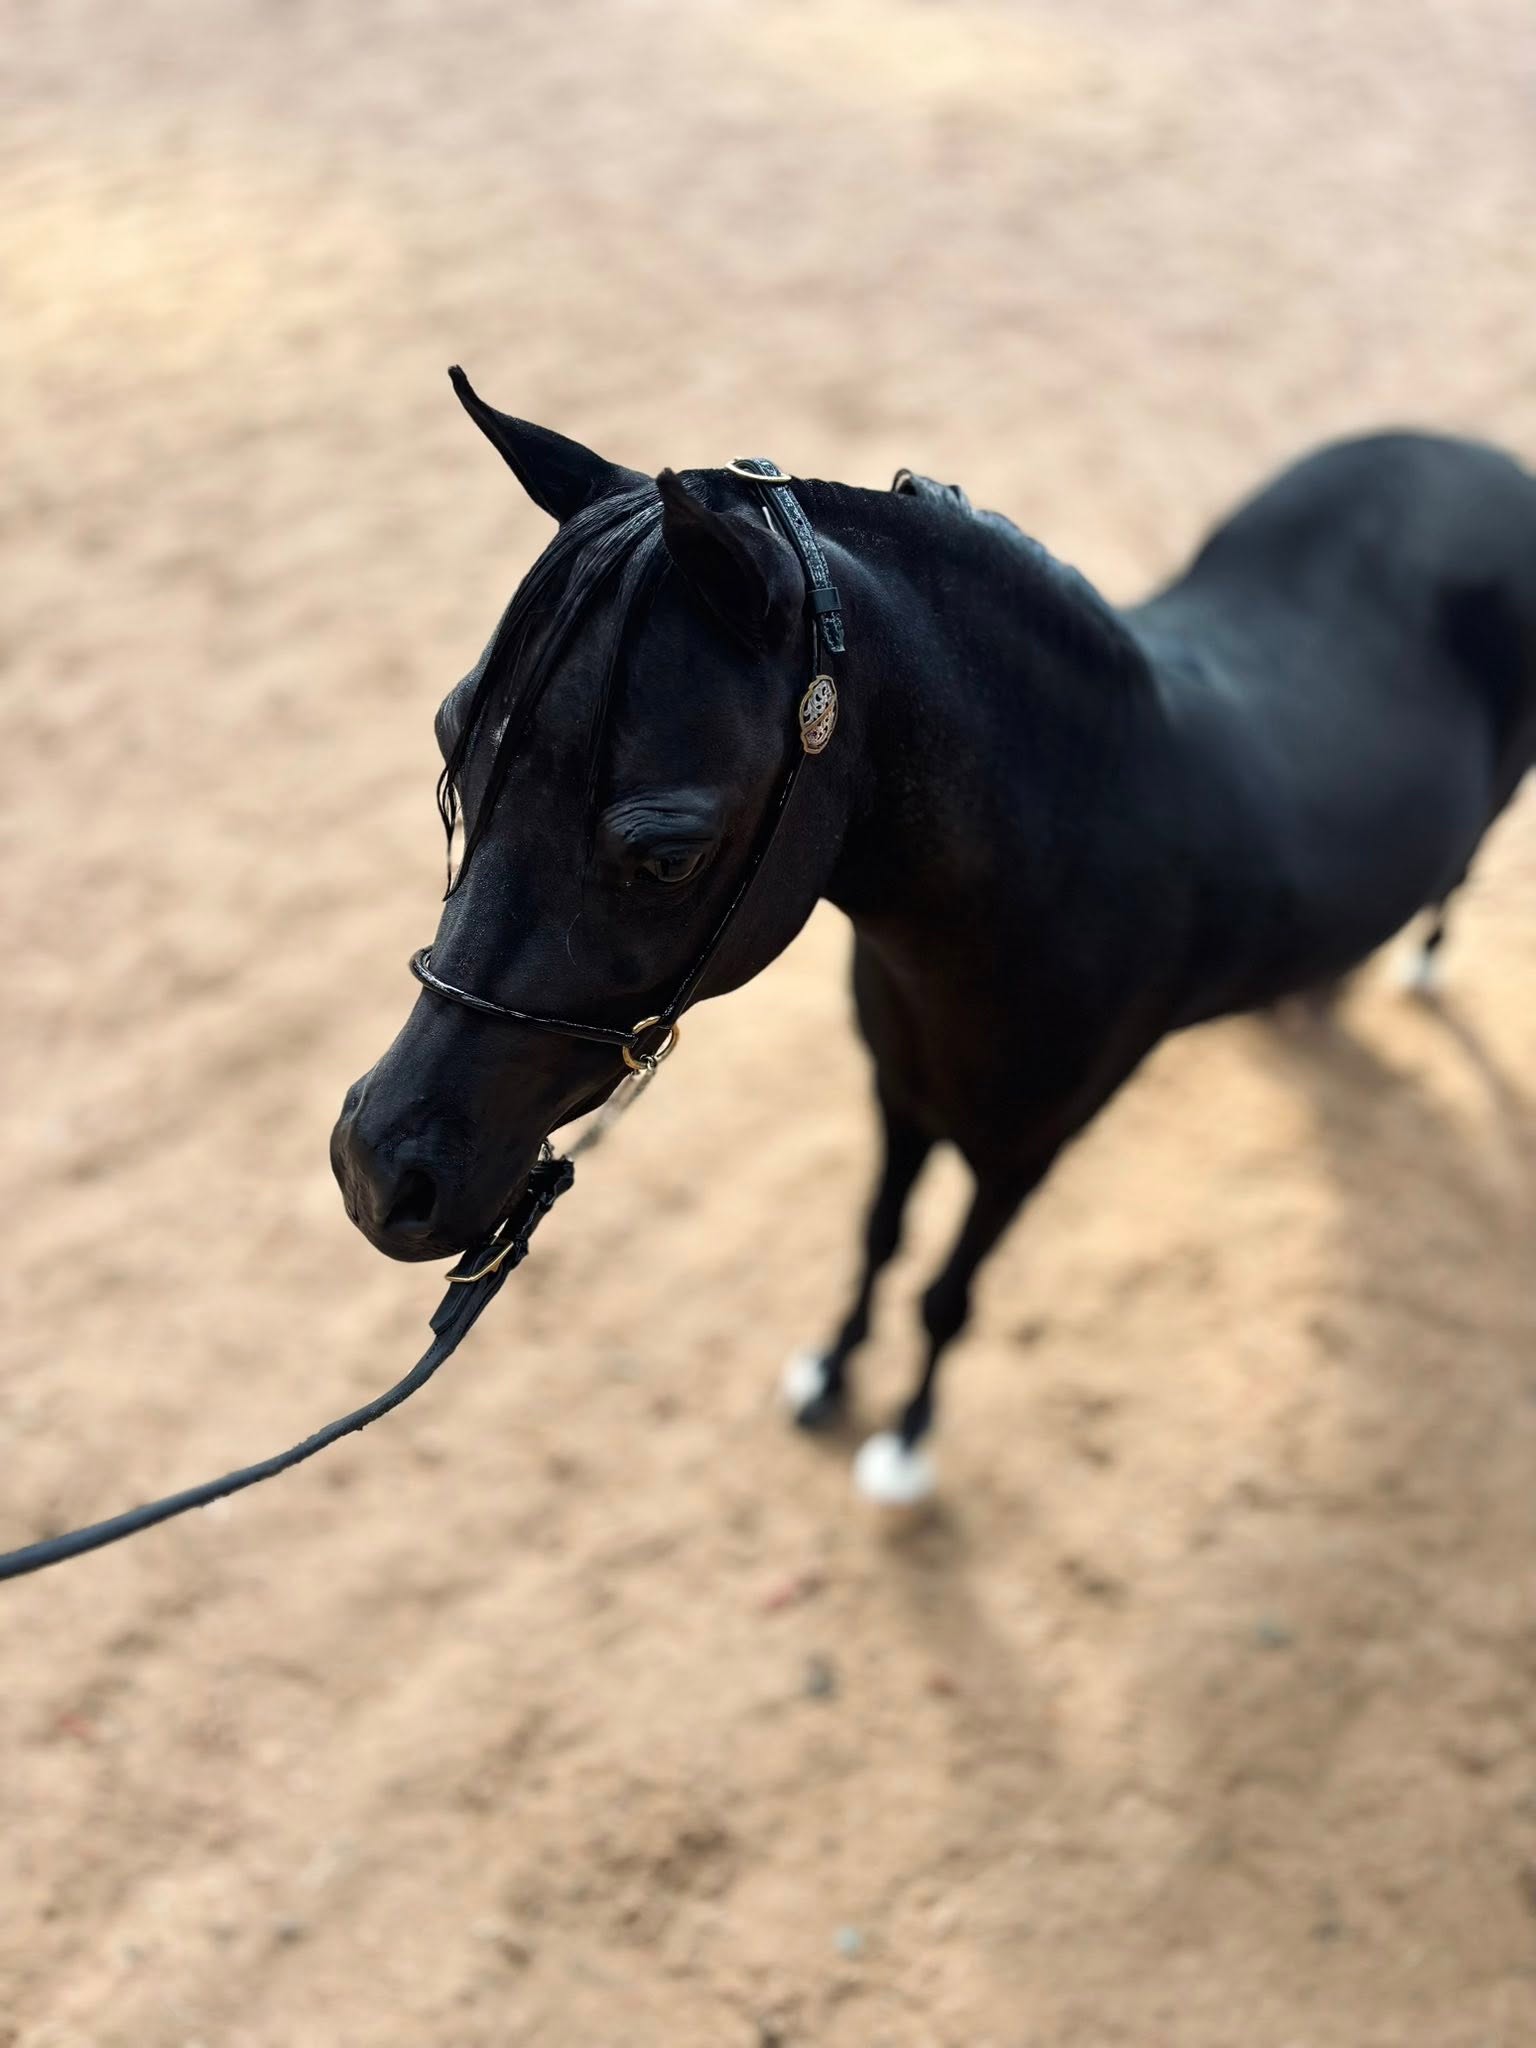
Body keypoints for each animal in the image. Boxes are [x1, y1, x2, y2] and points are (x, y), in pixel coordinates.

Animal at [331, 370, 1536, 1503]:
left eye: (667, 856)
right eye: (451, 740)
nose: (376, 1172)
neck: (1066, 857)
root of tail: (1486, 465)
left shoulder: (1022, 1151)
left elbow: (949, 1293)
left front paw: (905, 1444)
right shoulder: (901, 1093)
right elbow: (877, 1236)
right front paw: (827, 1374)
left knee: (1463, 867)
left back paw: (1419, 964)